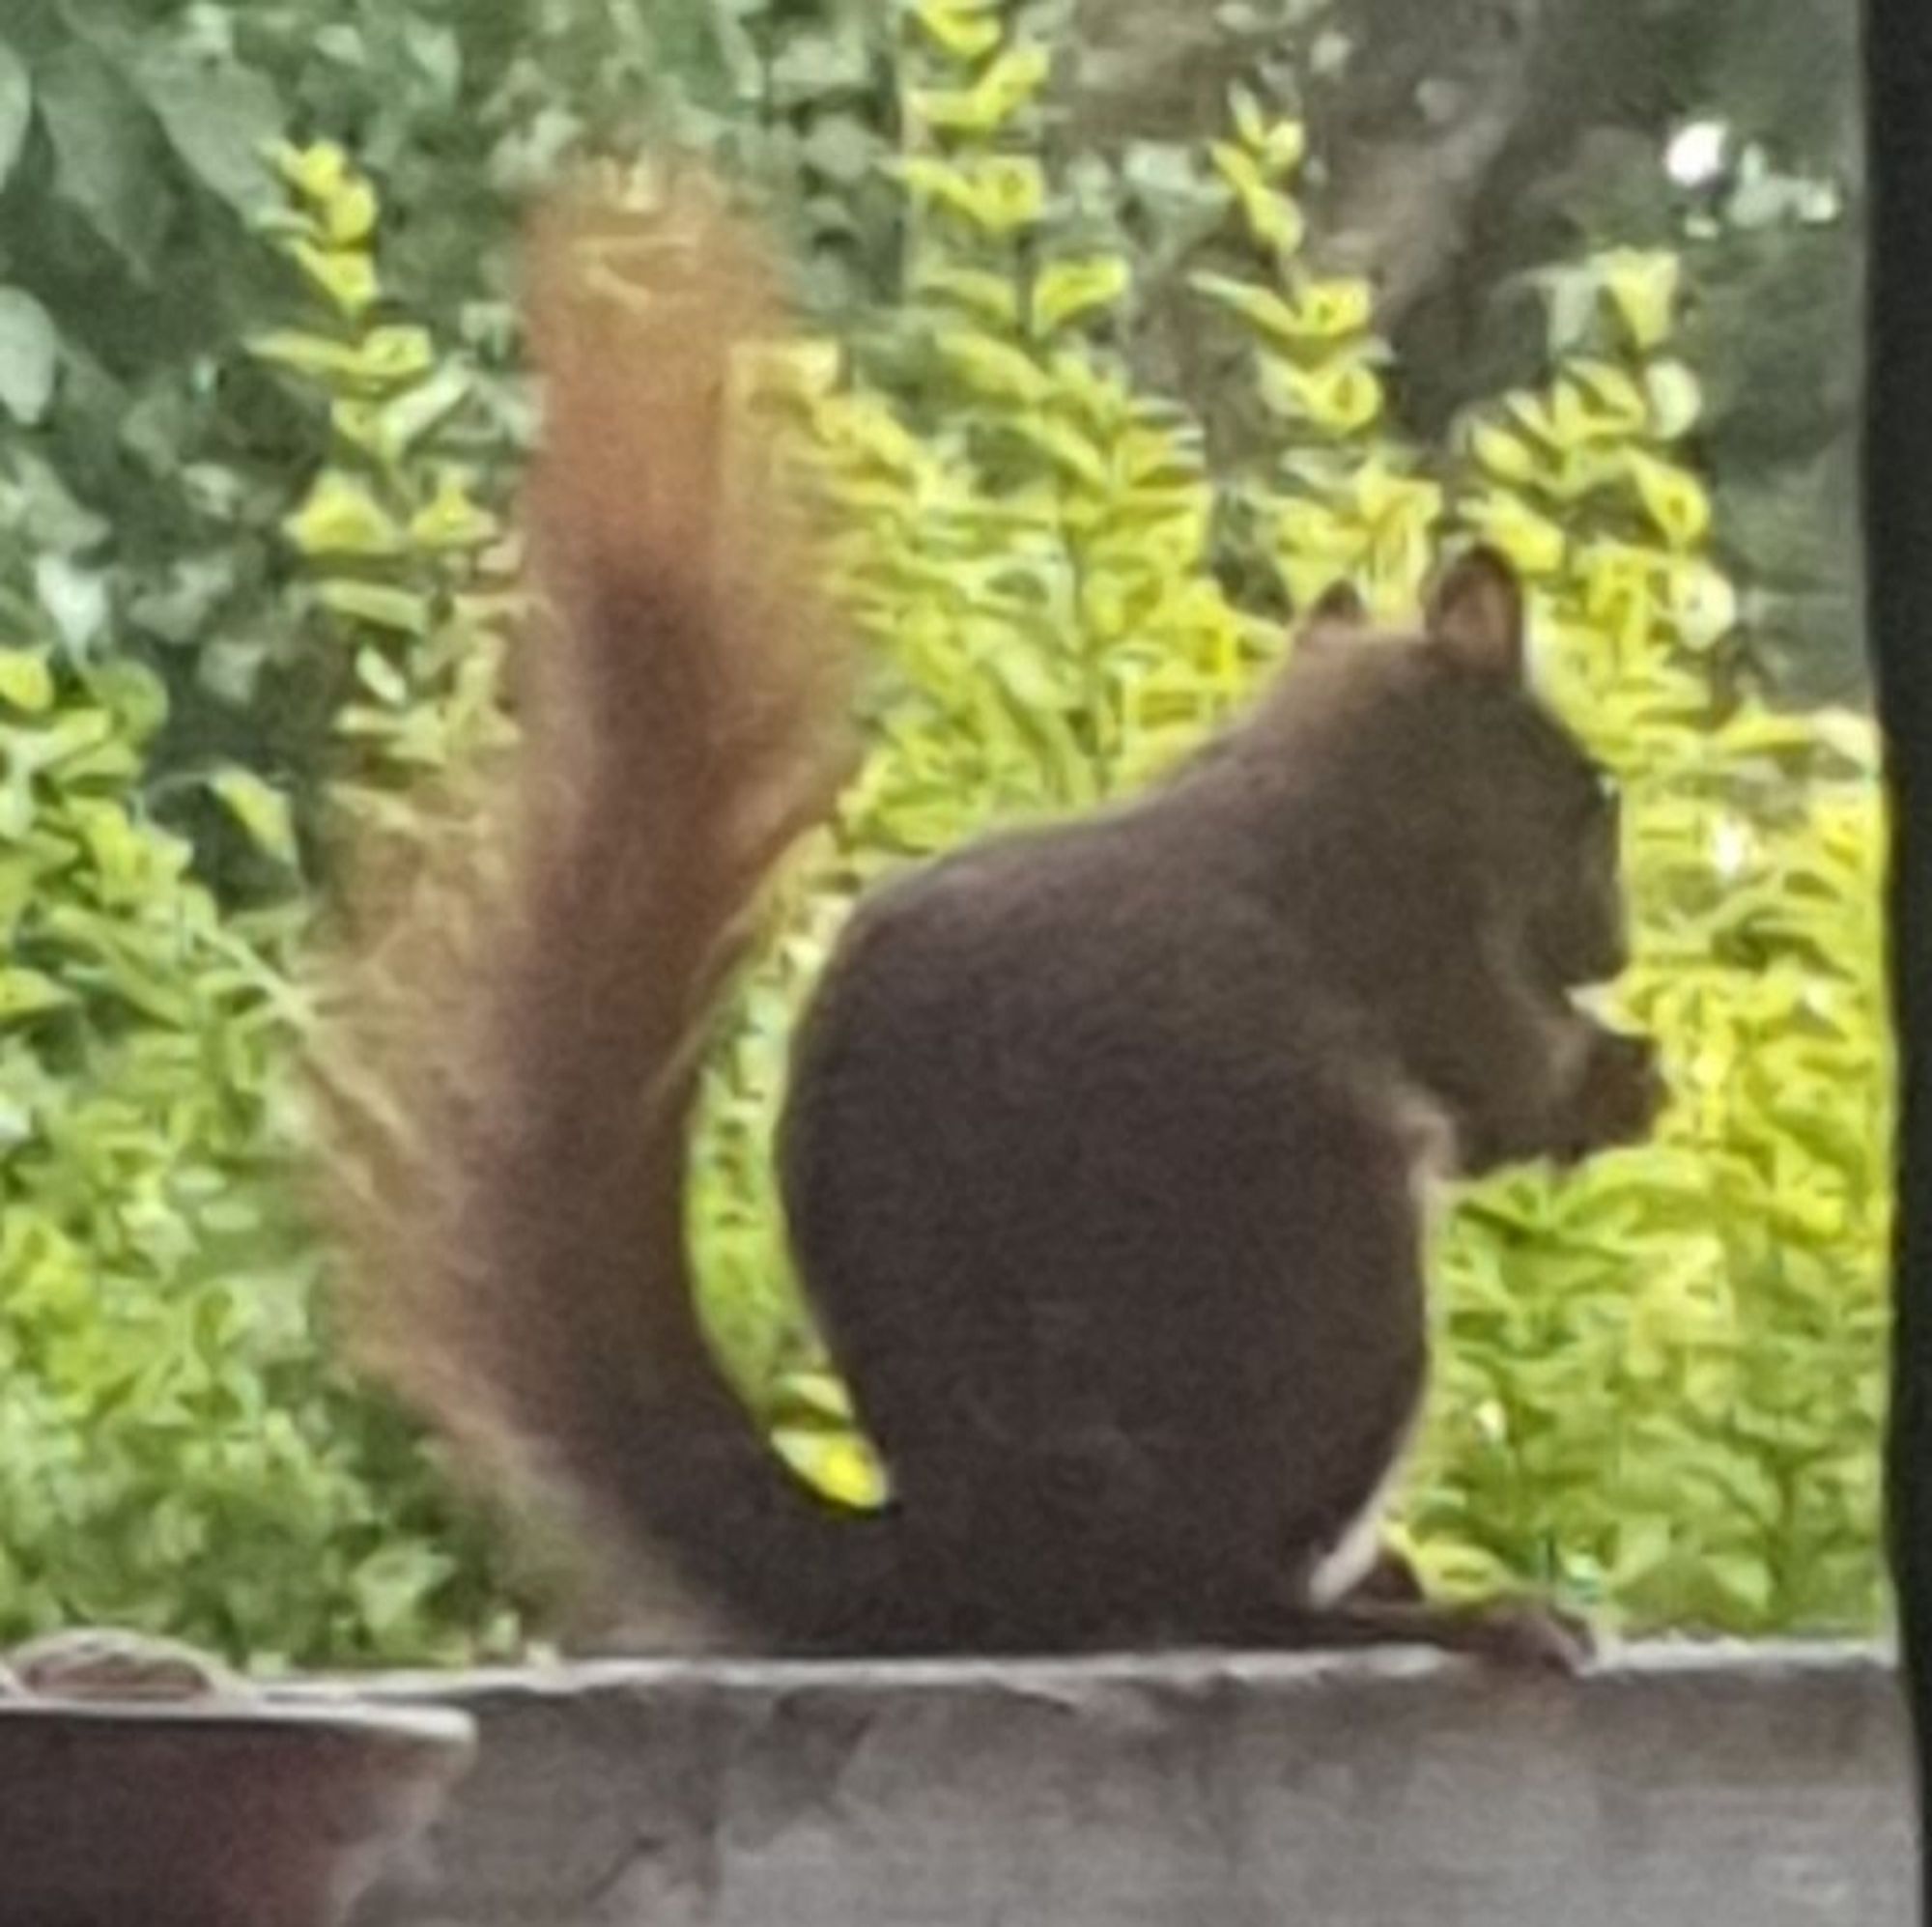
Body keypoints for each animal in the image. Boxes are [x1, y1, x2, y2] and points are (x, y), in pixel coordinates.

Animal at [317, 177, 1662, 1676]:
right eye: (1595, 797)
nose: (1617, 946)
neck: (1342, 767)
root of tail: (986, 1565)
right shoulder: (1427, 945)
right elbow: (1508, 1084)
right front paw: (1620, 1075)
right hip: (1338, 1288)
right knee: (1229, 1593)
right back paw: (1430, 1612)